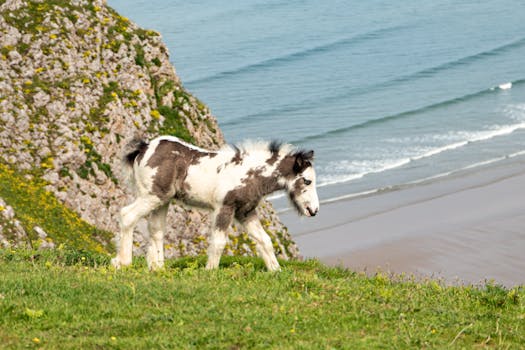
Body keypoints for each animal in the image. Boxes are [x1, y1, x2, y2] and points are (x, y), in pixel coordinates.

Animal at [111, 136, 320, 270]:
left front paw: (276, 271)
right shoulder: (224, 208)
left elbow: (265, 240)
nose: (314, 210)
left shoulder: (245, 212)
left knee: (156, 229)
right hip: (152, 196)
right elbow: (219, 242)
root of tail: (144, 148)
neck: (249, 173)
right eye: (307, 181)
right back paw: (123, 263)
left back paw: (157, 268)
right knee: (127, 215)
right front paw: (210, 271)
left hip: (162, 200)